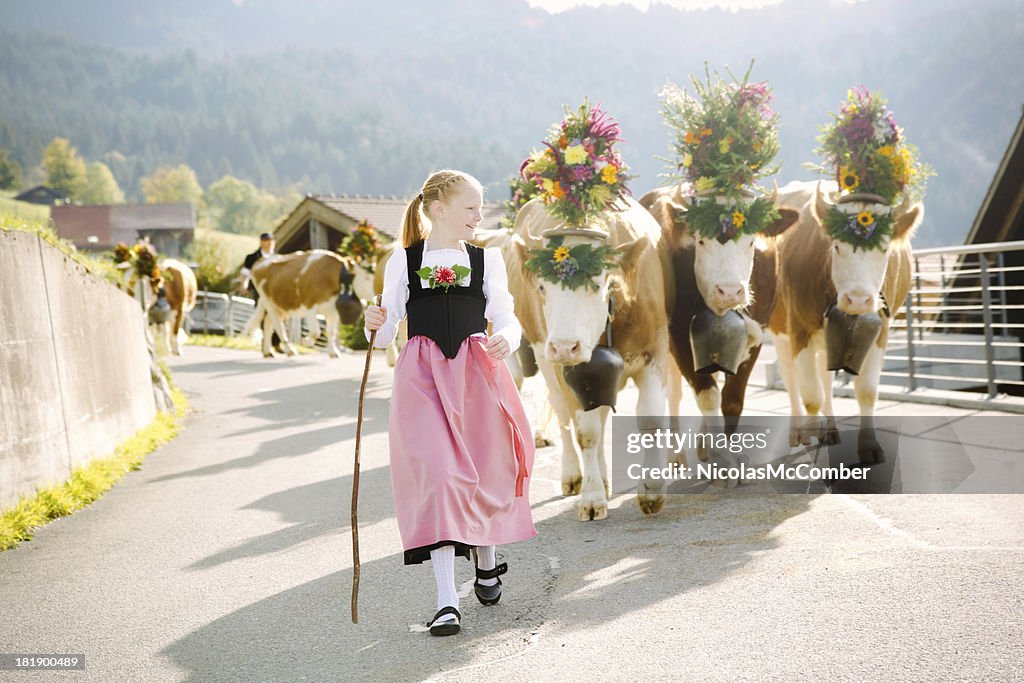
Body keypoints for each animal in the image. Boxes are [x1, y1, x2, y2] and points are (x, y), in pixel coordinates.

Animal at [507, 194, 675, 520]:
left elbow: (649, 419)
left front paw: (652, 489)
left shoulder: (655, 350)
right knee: (564, 416)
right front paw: (593, 496)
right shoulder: (569, 369)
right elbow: (586, 432)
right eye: (542, 286)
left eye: (597, 284)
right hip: (543, 356)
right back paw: (575, 475)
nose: (564, 346)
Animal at [638, 184, 798, 456]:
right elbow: (708, 396)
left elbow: (732, 400)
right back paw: (677, 456)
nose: (730, 291)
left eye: (751, 241)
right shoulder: (679, 337)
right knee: (674, 393)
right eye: (701, 240)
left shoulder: (756, 336)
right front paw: (718, 458)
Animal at [770, 180, 925, 464]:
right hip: (779, 331)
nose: (858, 299)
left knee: (826, 378)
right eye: (836, 246)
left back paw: (830, 429)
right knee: (790, 377)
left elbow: (866, 390)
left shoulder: (880, 331)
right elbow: (811, 395)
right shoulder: (799, 330)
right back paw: (799, 432)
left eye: (884, 249)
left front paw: (869, 447)